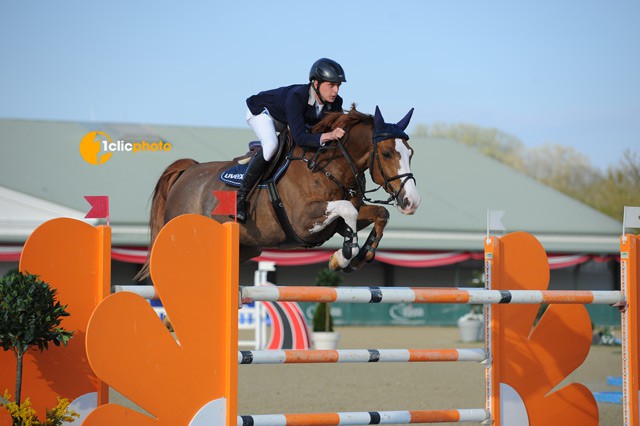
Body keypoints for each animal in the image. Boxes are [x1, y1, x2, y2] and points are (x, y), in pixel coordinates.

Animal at [134, 105, 420, 282]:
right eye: (386, 153)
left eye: (410, 153)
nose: (411, 202)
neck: (329, 167)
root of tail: (188, 171)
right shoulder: (303, 220)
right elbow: (348, 211)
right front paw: (342, 257)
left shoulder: (333, 223)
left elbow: (379, 213)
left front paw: (362, 256)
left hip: (245, 248)